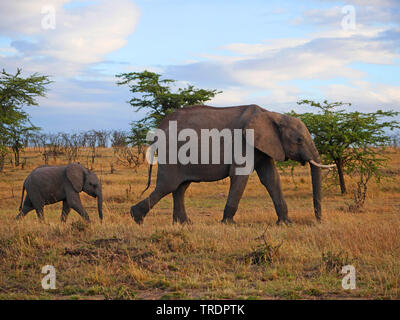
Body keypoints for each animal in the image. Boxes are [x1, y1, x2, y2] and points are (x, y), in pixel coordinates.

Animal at [130, 105, 332, 225]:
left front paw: (286, 223)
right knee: (168, 186)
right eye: (299, 140)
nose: (318, 221)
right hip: (172, 152)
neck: (272, 114)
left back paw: (184, 224)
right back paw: (136, 217)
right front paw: (229, 224)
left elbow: (271, 179)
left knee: (180, 187)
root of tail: (158, 129)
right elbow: (240, 177)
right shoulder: (243, 143)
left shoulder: (264, 146)